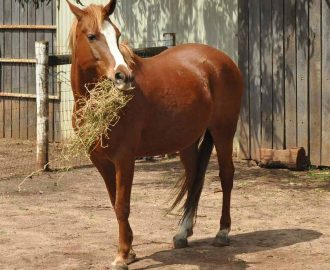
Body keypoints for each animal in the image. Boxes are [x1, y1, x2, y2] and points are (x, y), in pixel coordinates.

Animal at [66, 1, 242, 268]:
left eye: (117, 35)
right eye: (92, 36)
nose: (123, 77)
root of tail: (222, 60)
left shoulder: (124, 158)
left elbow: (122, 205)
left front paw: (122, 255)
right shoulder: (100, 161)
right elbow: (113, 202)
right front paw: (130, 251)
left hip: (224, 132)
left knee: (226, 176)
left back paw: (222, 232)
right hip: (187, 141)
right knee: (195, 179)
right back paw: (183, 233)